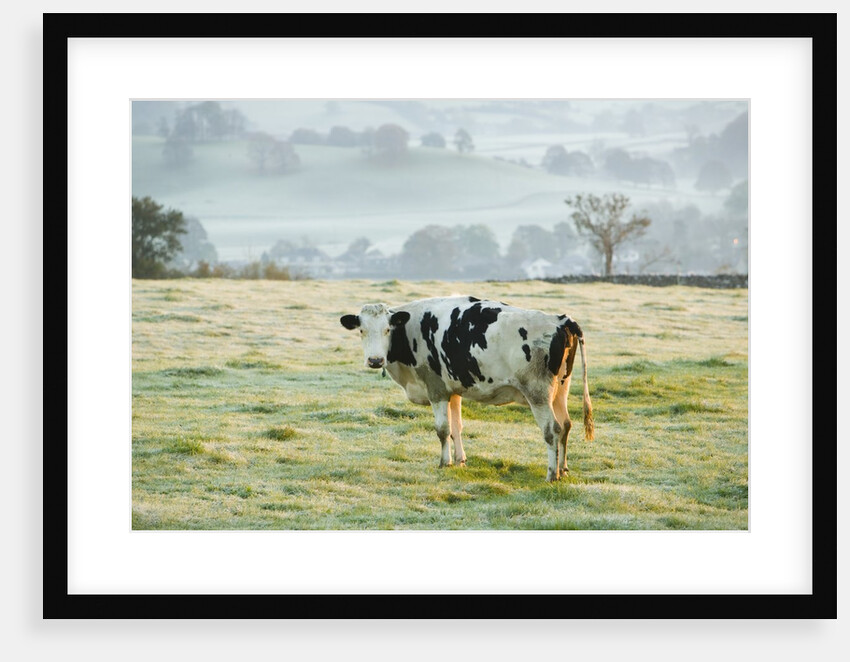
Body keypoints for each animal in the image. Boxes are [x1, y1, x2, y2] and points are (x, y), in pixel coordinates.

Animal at [340, 296, 594, 482]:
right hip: (561, 389)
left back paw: (551, 474)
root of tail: (561, 320)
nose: (375, 360)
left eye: (387, 330)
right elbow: (456, 428)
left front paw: (445, 463)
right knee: (566, 425)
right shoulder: (453, 391)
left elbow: (442, 430)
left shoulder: (436, 390)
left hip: (538, 392)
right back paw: (563, 469)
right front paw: (460, 460)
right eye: (361, 330)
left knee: (552, 429)